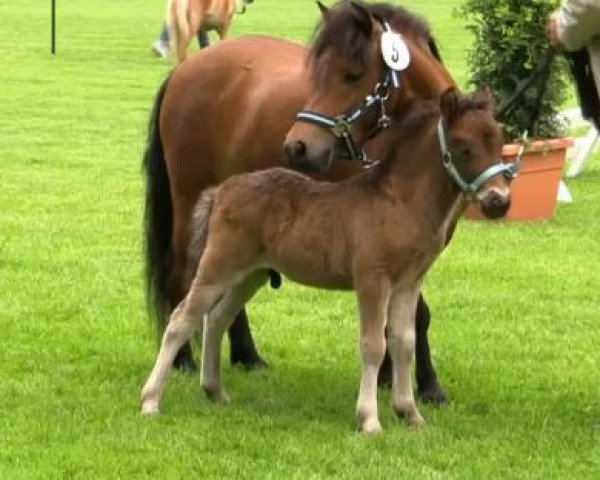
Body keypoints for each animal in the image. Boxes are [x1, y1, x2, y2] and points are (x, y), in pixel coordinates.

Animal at [139, 88, 510, 434]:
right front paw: (369, 420)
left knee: (217, 318)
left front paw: (410, 413)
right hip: (219, 264)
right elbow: (374, 345)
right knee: (181, 319)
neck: (400, 201)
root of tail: (221, 191)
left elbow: (404, 342)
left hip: (251, 274)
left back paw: (215, 390)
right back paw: (151, 400)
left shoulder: (409, 283)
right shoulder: (372, 279)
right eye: (463, 147)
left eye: (499, 141)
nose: (499, 201)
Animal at [144, 0, 454, 402]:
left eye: (353, 75)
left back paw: (246, 355)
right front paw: (417, 384)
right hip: (189, 201)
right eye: (317, 76)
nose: (298, 147)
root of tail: (186, 68)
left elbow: (409, 317)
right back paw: (183, 360)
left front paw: (409, 381)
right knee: (184, 278)